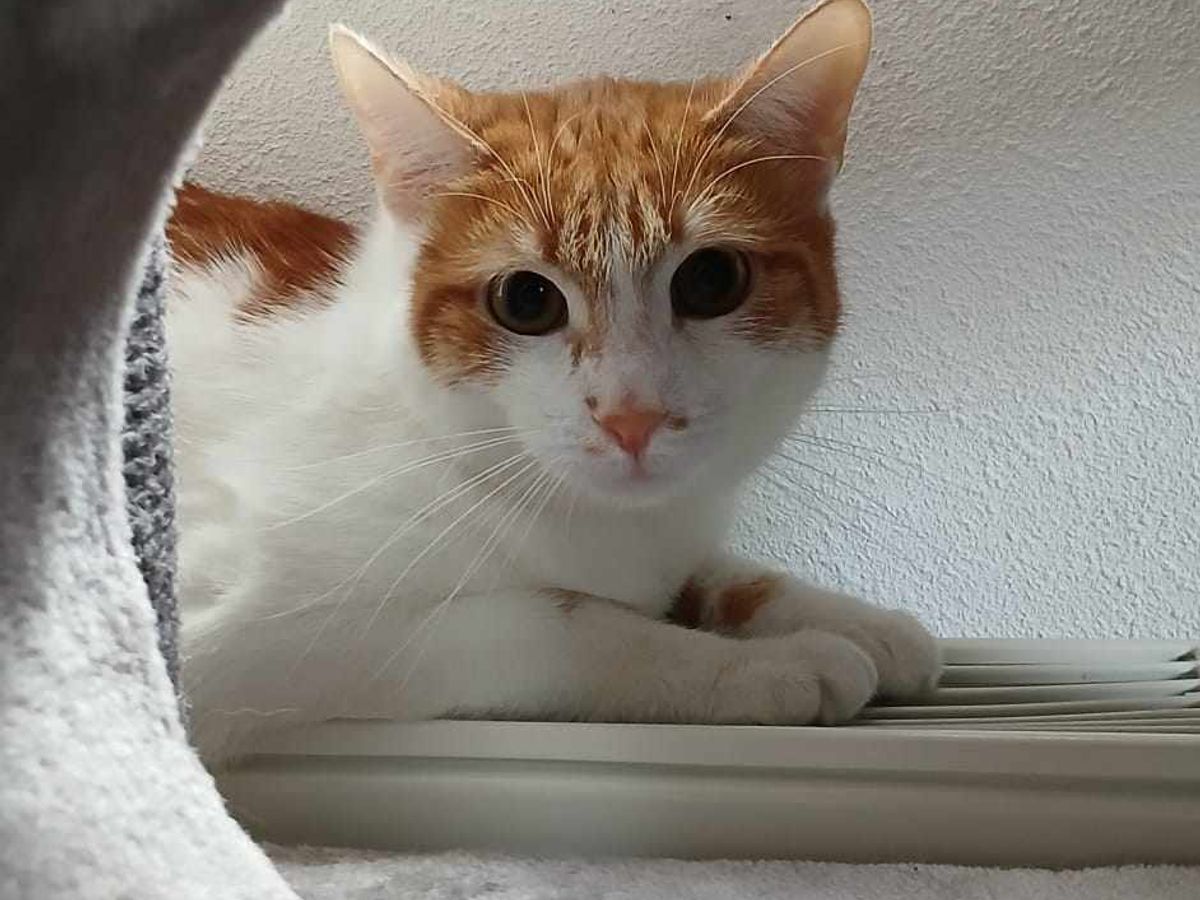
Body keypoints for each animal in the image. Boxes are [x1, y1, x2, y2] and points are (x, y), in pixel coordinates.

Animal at [168, 0, 940, 763]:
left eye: (712, 281)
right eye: (526, 301)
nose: (631, 416)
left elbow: (706, 571)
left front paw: (854, 619)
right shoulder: (247, 631)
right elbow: (564, 624)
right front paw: (769, 663)